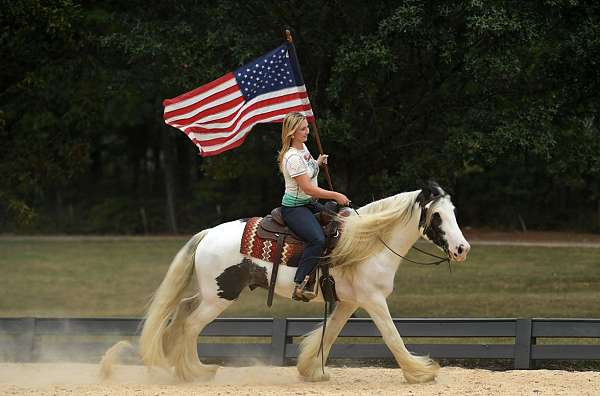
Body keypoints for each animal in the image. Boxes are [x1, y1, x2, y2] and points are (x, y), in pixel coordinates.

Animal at [102, 182, 468, 384]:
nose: (462, 248)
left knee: (181, 311)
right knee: (191, 325)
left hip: (211, 293)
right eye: (437, 216)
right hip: (219, 297)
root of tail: (207, 234)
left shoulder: (350, 302)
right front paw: (421, 372)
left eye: (454, 212)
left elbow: (329, 334)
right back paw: (193, 372)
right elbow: (392, 337)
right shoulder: (374, 300)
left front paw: (312, 370)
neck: (366, 241)